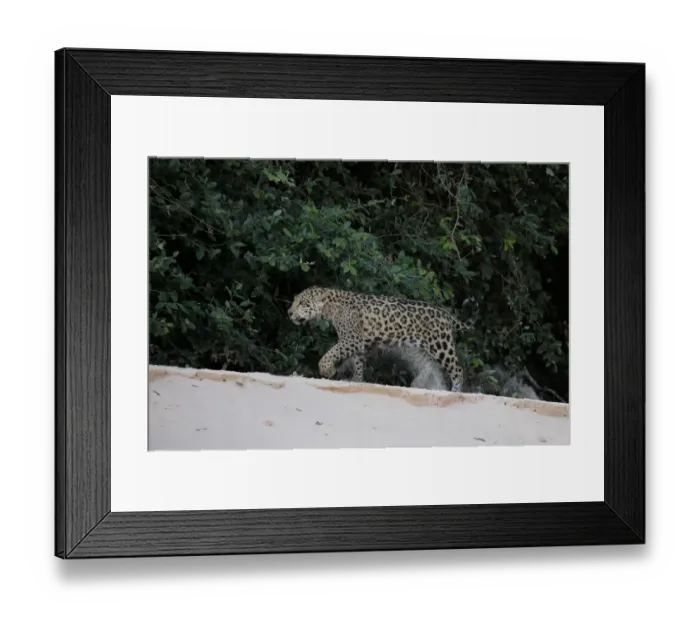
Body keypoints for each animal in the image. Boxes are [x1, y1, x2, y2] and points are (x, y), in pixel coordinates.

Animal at [287, 286, 479, 393]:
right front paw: (356, 380)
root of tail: (446, 314)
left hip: (441, 346)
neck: (330, 308)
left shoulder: (351, 340)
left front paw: (327, 370)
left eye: (302, 303)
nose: (289, 312)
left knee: (457, 369)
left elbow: (330, 354)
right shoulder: (357, 343)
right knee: (431, 367)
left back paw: (455, 391)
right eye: (295, 301)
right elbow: (357, 363)